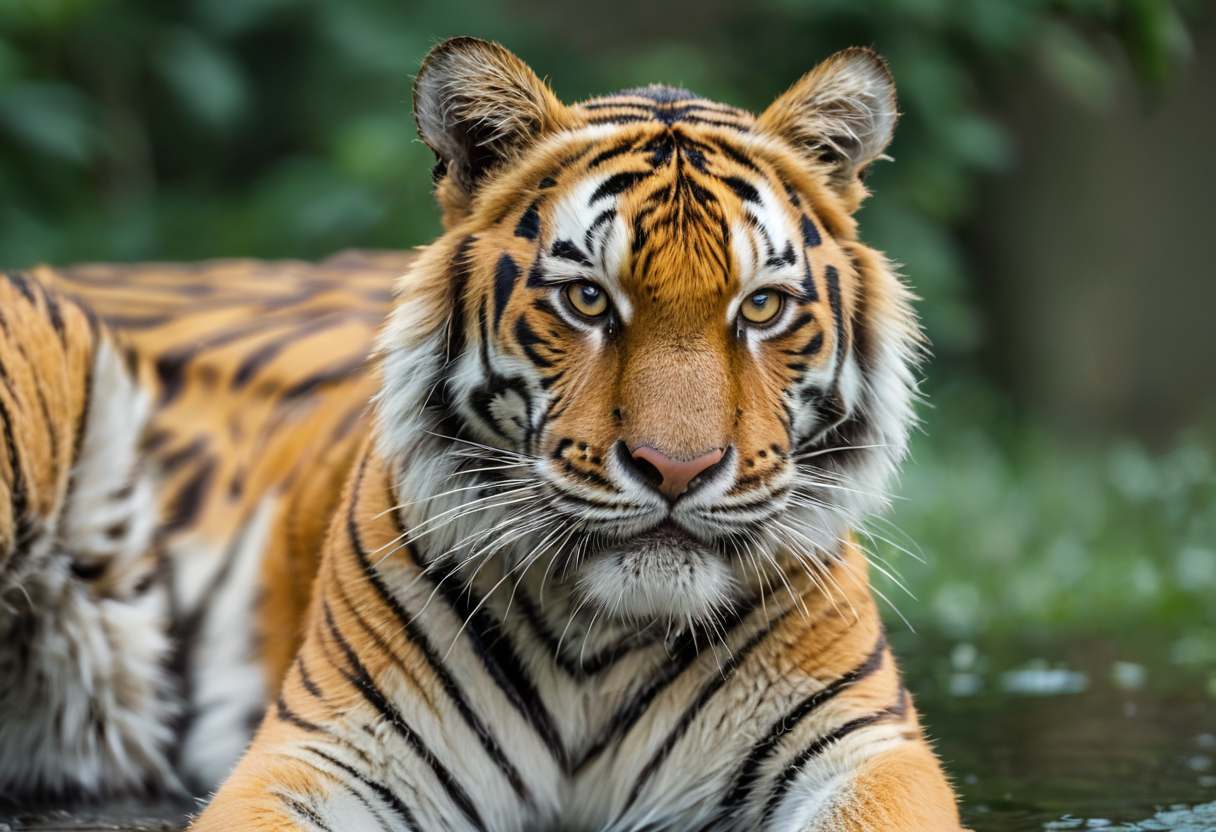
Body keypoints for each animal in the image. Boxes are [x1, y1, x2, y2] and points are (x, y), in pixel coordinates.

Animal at [0, 36, 965, 831]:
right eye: (587, 300)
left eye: (761, 307)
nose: (675, 469)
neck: (602, 647)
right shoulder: (324, 753)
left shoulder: (865, 749)